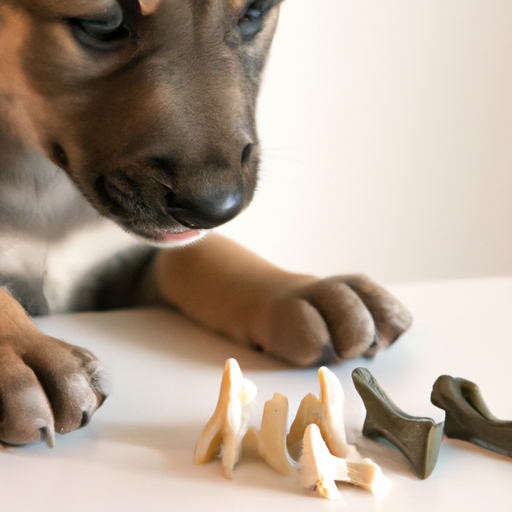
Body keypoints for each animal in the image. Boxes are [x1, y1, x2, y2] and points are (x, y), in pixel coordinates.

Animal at [0, 0, 412, 448]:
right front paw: (23, 354)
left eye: (254, 13)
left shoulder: (133, 259)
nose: (215, 207)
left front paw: (305, 289)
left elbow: (210, 254)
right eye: (102, 27)